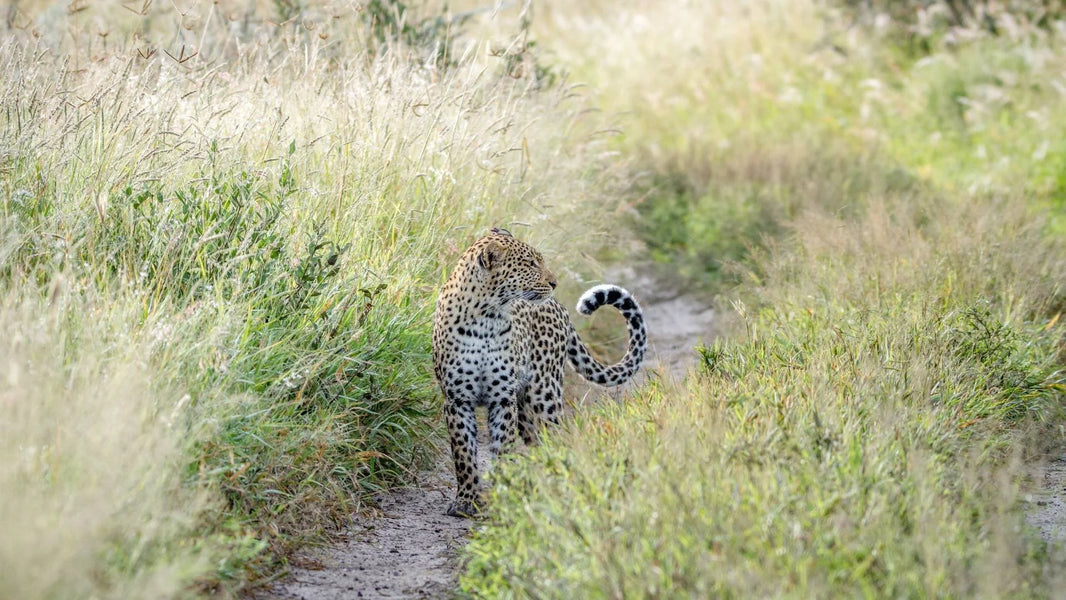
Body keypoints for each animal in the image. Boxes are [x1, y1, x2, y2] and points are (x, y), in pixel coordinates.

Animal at [432, 227, 647, 517]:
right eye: (531, 264)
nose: (554, 282)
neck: (485, 318)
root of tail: (559, 306)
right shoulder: (457, 400)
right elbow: (464, 454)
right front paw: (466, 500)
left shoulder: (503, 399)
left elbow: (503, 446)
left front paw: (503, 492)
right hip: (526, 407)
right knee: (537, 442)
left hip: (545, 395)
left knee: (557, 438)